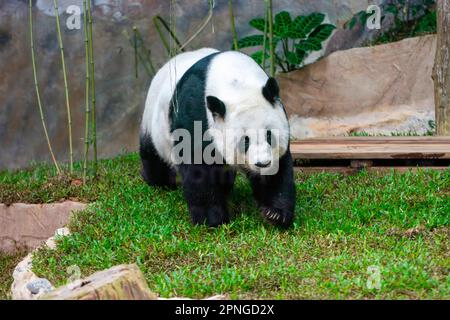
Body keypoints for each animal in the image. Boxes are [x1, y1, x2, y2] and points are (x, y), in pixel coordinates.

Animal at [141, 47, 296, 228]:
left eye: (269, 135)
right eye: (245, 140)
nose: (262, 164)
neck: (237, 83)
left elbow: (278, 172)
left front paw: (275, 213)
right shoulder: (195, 115)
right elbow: (198, 168)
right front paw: (211, 219)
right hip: (154, 122)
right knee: (153, 157)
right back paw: (156, 181)